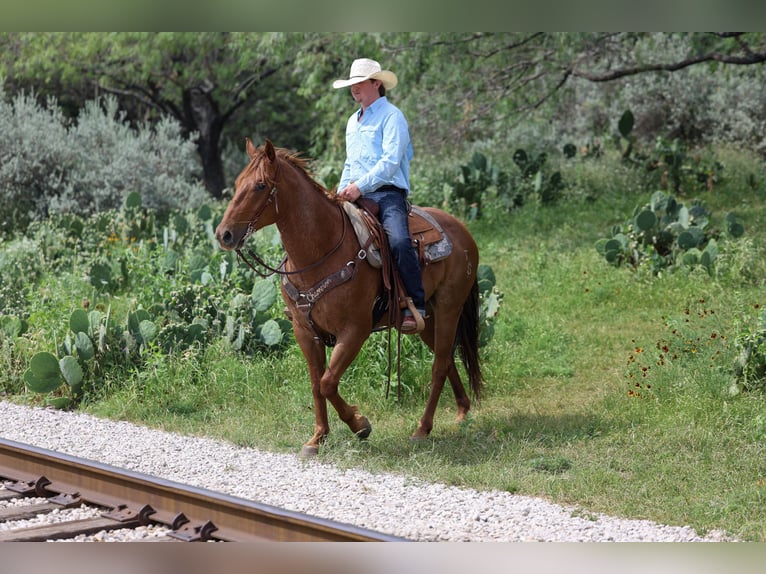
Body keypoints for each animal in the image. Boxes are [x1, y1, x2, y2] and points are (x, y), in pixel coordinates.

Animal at [215, 138, 482, 457]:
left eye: (259, 186)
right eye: (236, 183)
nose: (224, 234)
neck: (321, 251)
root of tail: (463, 230)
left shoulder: (355, 330)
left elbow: (328, 382)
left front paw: (360, 424)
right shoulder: (304, 331)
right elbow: (316, 383)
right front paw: (318, 438)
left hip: (448, 308)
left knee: (439, 365)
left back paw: (422, 429)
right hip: (427, 319)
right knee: (447, 358)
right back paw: (462, 411)